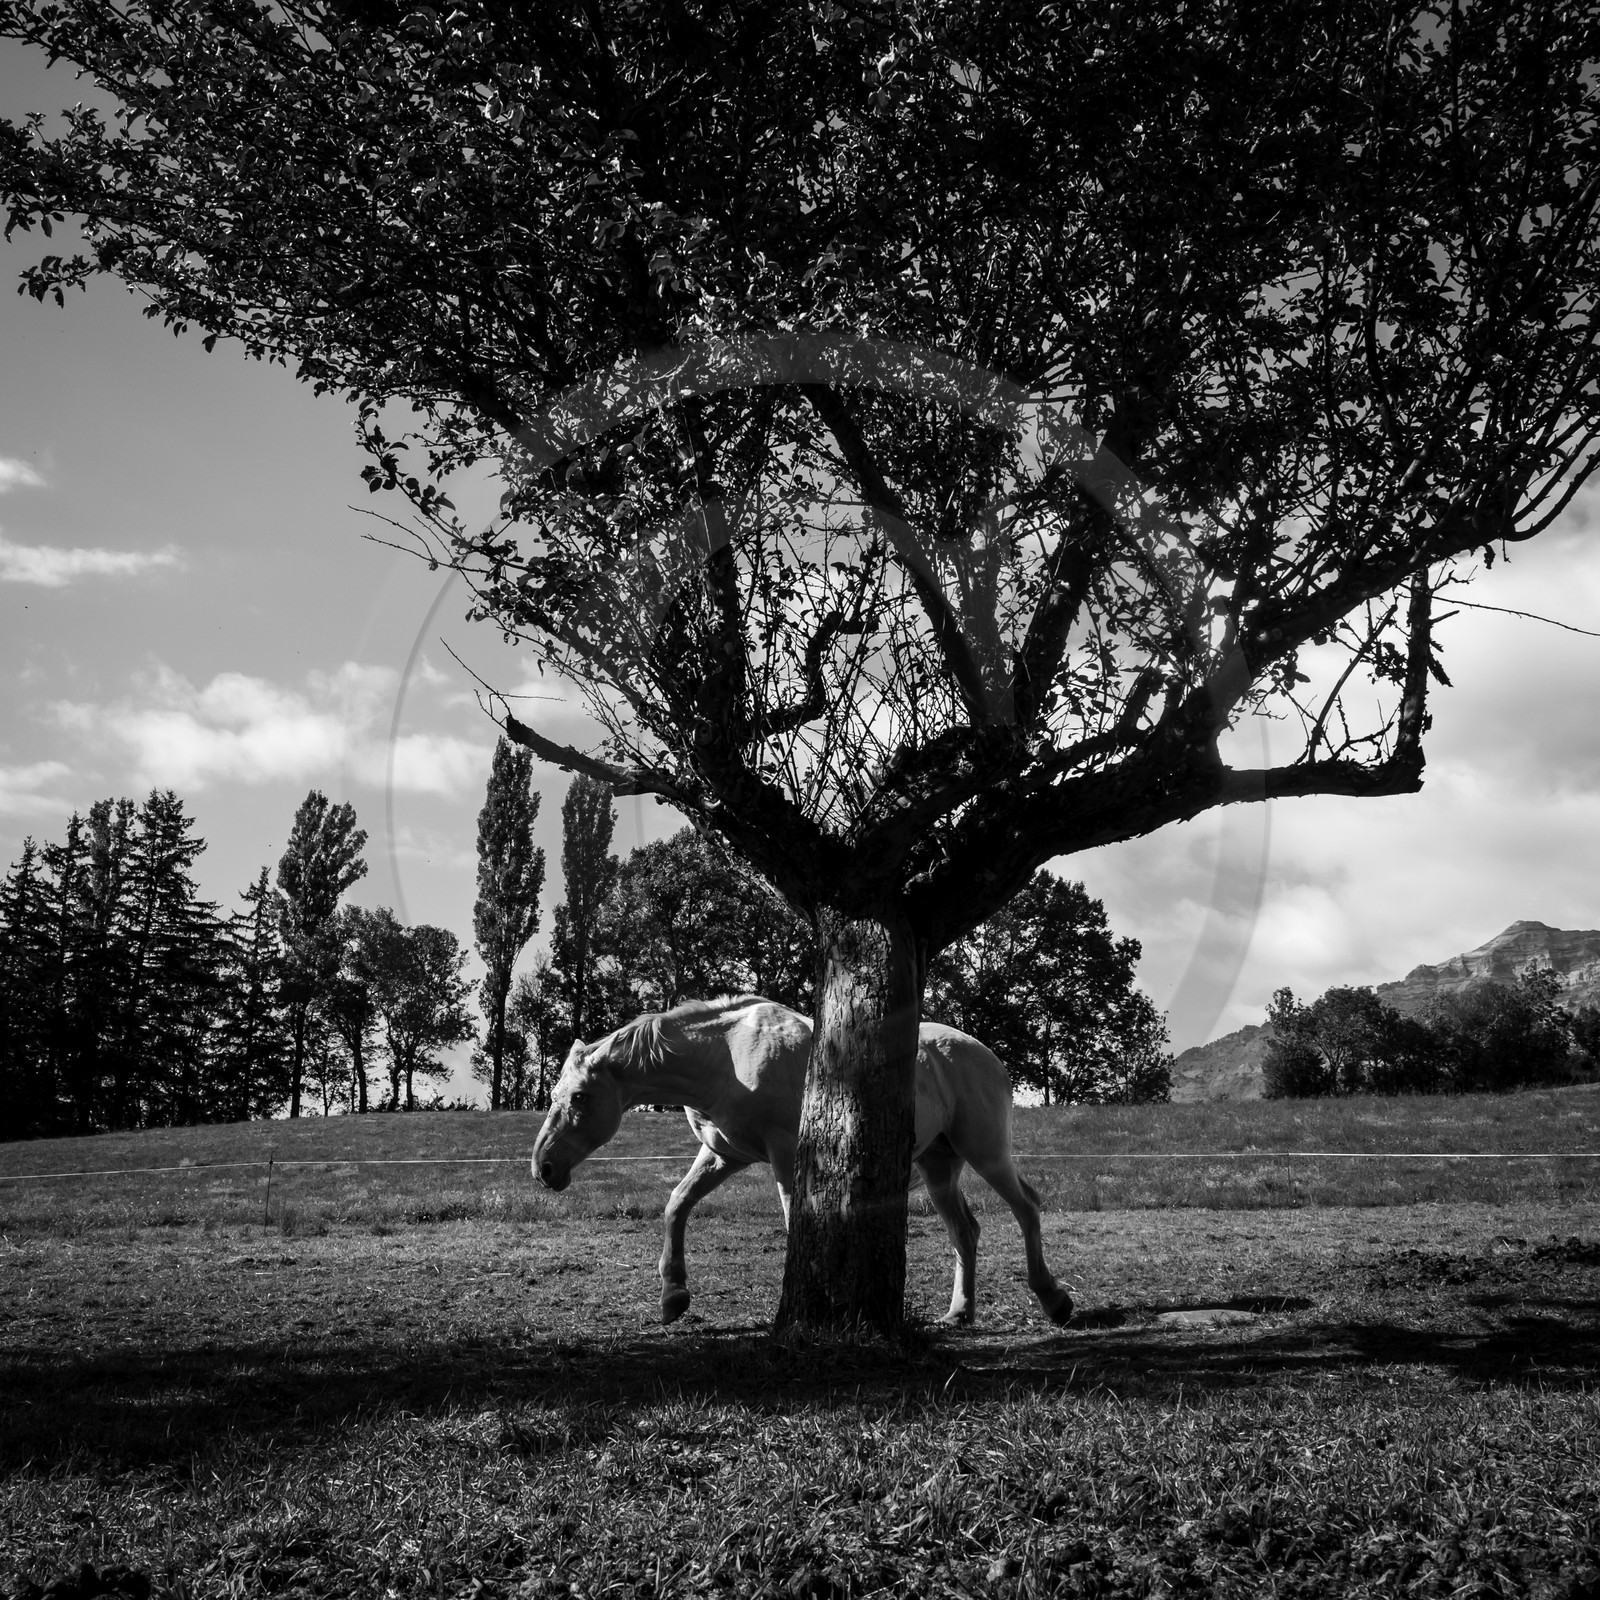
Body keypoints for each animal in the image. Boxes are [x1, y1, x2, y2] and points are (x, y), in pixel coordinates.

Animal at [531, 994, 1074, 1328]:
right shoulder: (723, 1154)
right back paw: (959, 1313)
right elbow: (676, 1205)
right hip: (940, 1166)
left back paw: (1053, 1300)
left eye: (579, 1097)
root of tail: (987, 1056)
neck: (728, 1055)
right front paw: (672, 1297)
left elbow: (798, 1221)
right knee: (965, 1231)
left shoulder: (784, 1155)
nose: (544, 1167)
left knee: (1026, 1207)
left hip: (986, 1153)